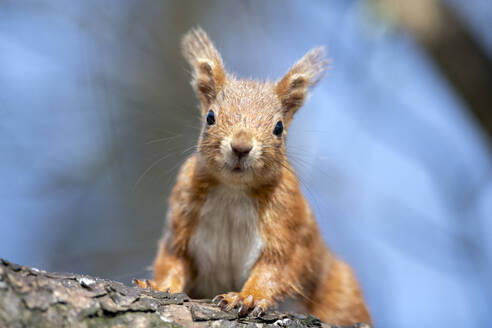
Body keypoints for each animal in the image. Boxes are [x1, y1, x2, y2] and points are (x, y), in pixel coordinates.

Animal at [135, 28, 372, 326]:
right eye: (210, 117)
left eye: (279, 128)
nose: (241, 146)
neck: (233, 190)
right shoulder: (183, 212)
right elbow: (174, 258)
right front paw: (157, 285)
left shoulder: (287, 221)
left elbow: (277, 267)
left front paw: (248, 297)